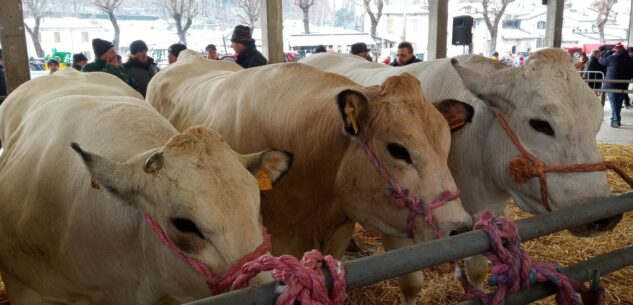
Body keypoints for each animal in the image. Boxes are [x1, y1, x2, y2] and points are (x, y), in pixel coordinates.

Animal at [302, 50, 624, 300]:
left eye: (597, 122)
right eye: (541, 124)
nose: (605, 215)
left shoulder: (488, 213)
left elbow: (477, 267)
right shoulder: (392, 220)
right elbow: (411, 281)